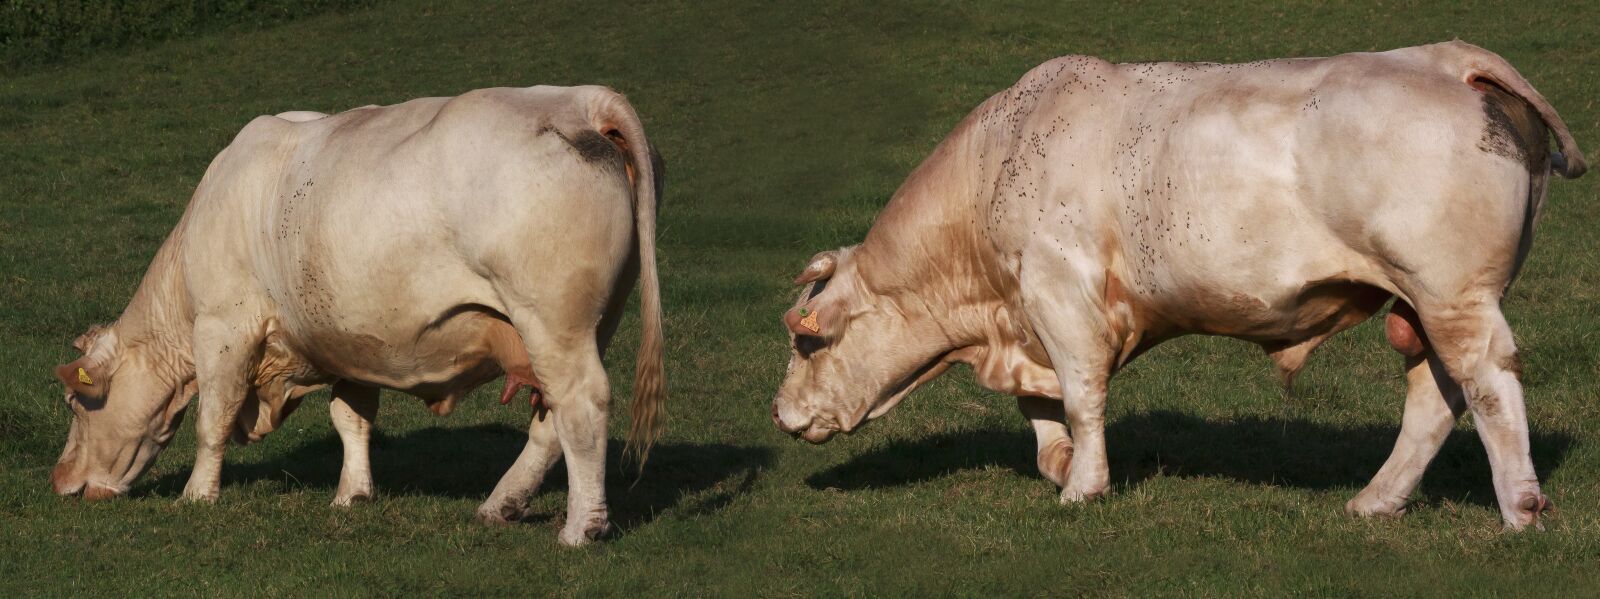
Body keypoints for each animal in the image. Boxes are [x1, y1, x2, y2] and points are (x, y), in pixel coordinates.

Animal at [49, 85, 665, 546]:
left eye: (77, 403)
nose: (60, 481)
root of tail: (577, 100)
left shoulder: (224, 326)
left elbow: (212, 419)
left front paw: (198, 495)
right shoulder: (351, 342)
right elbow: (351, 419)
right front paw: (353, 494)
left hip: (553, 321)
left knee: (581, 406)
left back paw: (581, 529)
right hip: (588, 326)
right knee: (550, 420)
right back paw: (500, 505)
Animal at [770, 41, 1585, 529]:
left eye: (808, 342)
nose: (779, 413)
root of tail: (1446, 58)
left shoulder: (1059, 291)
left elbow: (1080, 395)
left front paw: (1084, 485)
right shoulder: (1029, 314)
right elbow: (1042, 409)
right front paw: (1063, 465)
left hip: (1453, 294)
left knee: (1486, 385)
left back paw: (1520, 510)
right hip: (1421, 305)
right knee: (1435, 397)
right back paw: (1375, 502)